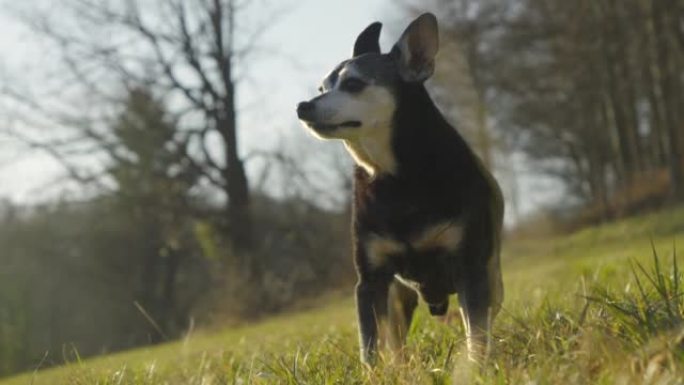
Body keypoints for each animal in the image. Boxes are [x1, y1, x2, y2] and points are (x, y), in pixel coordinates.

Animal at [294, 12, 502, 364]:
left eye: (353, 84)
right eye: (322, 88)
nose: (303, 106)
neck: (395, 179)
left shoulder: (470, 267)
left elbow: (476, 329)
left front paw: (476, 366)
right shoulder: (370, 280)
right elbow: (370, 344)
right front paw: (375, 371)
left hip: (491, 276)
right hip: (397, 294)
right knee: (395, 337)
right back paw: (400, 365)